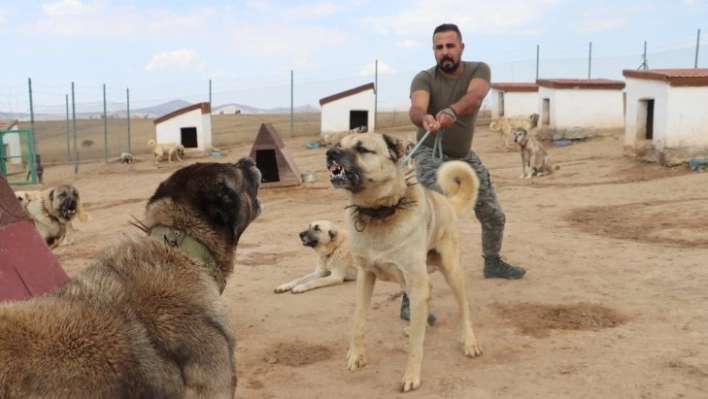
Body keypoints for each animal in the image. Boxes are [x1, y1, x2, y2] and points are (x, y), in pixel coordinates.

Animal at [324, 132, 482, 394]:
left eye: (362, 149)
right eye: (339, 145)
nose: (329, 153)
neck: (379, 212)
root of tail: (446, 202)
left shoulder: (415, 284)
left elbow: (415, 347)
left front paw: (411, 377)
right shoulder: (365, 277)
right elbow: (358, 322)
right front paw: (357, 356)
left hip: (449, 271)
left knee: (465, 308)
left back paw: (469, 341)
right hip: (407, 279)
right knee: (429, 290)